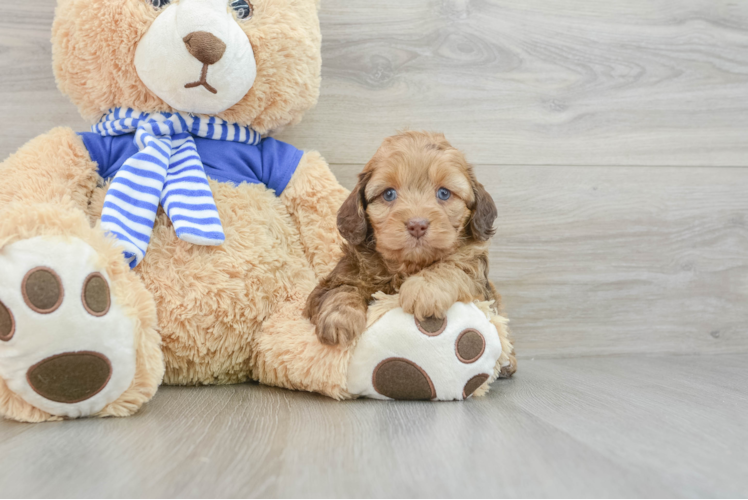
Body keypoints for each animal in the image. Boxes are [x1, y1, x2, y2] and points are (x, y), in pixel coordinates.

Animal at [304, 133, 516, 376]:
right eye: (389, 194)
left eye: (444, 193)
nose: (417, 225)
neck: (407, 266)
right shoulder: (335, 279)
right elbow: (341, 290)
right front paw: (340, 320)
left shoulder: (479, 282)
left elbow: (454, 267)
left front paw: (423, 288)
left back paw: (507, 361)